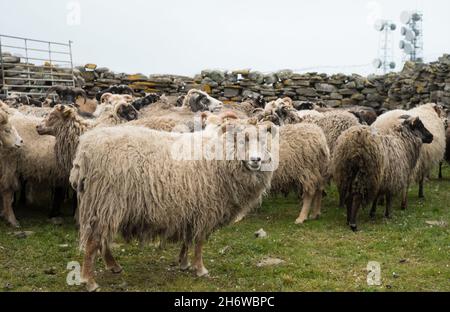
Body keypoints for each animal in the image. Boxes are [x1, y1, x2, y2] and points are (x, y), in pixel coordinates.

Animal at [68, 120, 276, 292]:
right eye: (242, 140)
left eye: (263, 141)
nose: (256, 160)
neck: (220, 158)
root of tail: (85, 148)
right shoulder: (206, 208)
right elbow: (199, 241)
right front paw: (200, 268)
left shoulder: (190, 208)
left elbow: (187, 238)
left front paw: (184, 263)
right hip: (105, 201)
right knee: (93, 241)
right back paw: (90, 281)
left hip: (106, 206)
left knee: (102, 239)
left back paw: (113, 266)